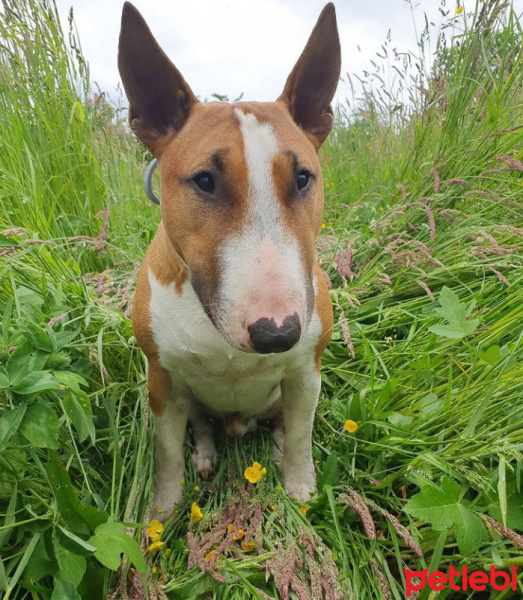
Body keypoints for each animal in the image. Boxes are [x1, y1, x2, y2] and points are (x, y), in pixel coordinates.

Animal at [117, 0, 342, 516]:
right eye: (205, 180)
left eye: (303, 177)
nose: (277, 333)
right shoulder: (161, 379)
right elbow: (166, 451)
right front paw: (161, 511)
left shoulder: (307, 371)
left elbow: (301, 437)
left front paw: (301, 487)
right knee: (201, 426)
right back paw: (204, 457)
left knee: (282, 424)